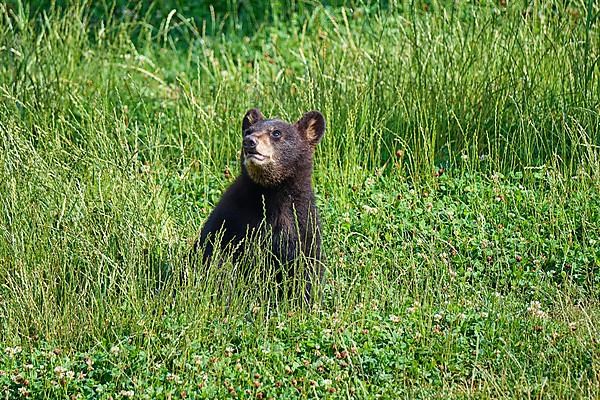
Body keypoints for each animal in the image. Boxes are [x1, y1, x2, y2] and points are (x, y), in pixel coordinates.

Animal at [197, 108, 326, 302]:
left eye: (276, 133)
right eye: (248, 131)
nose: (249, 142)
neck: (270, 194)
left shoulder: (301, 220)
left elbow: (306, 264)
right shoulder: (230, 214)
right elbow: (213, 251)